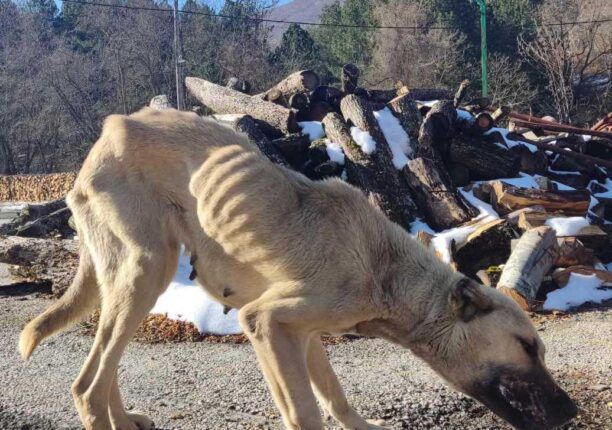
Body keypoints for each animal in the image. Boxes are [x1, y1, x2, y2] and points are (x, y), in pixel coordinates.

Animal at [17, 108, 572, 430]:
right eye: (528, 347)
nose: (572, 413)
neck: (384, 272)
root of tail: (105, 135)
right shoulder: (266, 323)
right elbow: (305, 410)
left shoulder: (302, 336)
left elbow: (335, 396)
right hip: (148, 270)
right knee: (87, 386)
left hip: (130, 281)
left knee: (103, 366)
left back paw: (126, 419)